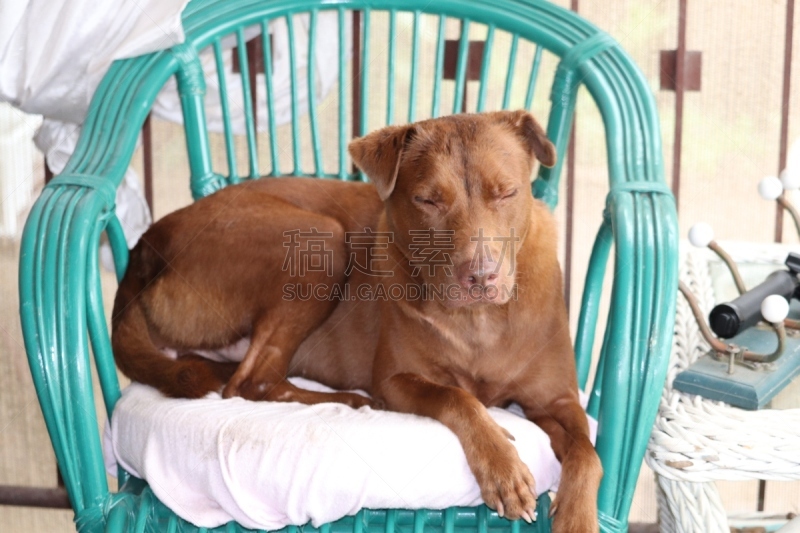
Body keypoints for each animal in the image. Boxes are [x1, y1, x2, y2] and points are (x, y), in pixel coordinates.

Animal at [111, 110, 600, 528]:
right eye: (427, 200)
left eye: (507, 192)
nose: (480, 276)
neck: (479, 322)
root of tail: (147, 243)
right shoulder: (397, 379)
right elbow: (458, 398)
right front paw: (502, 467)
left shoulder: (558, 400)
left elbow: (588, 453)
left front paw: (576, 517)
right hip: (322, 242)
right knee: (253, 381)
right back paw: (347, 400)